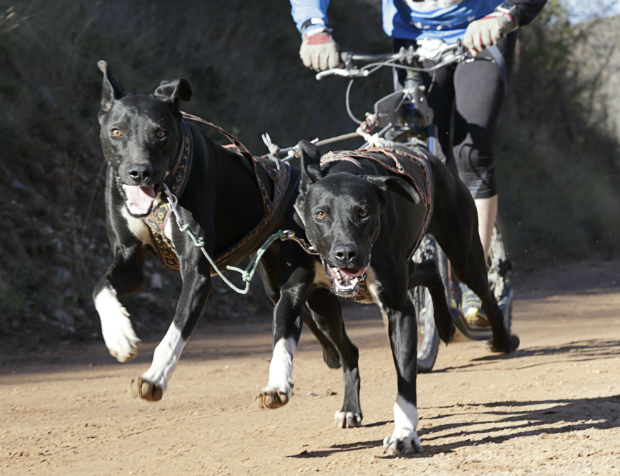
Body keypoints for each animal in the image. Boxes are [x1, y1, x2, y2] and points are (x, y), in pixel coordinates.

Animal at [92, 62, 334, 402]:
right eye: (116, 131)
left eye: (160, 133)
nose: (139, 172)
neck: (164, 194)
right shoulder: (129, 261)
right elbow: (100, 288)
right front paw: (118, 335)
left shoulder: (197, 275)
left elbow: (173, 334)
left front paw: (154, 377)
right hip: (276, 284)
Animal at [256, 140, 520, 454]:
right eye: (320, 214)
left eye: (364, 213)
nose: (346, 253)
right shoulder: (291, 295)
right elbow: (281, 343)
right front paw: (276, 385)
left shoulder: (399, 310)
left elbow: (406, 378)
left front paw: (404, 434)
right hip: (326, 309)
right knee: (427, 273)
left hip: (464, 255)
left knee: (486, 295)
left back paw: (499, 339)